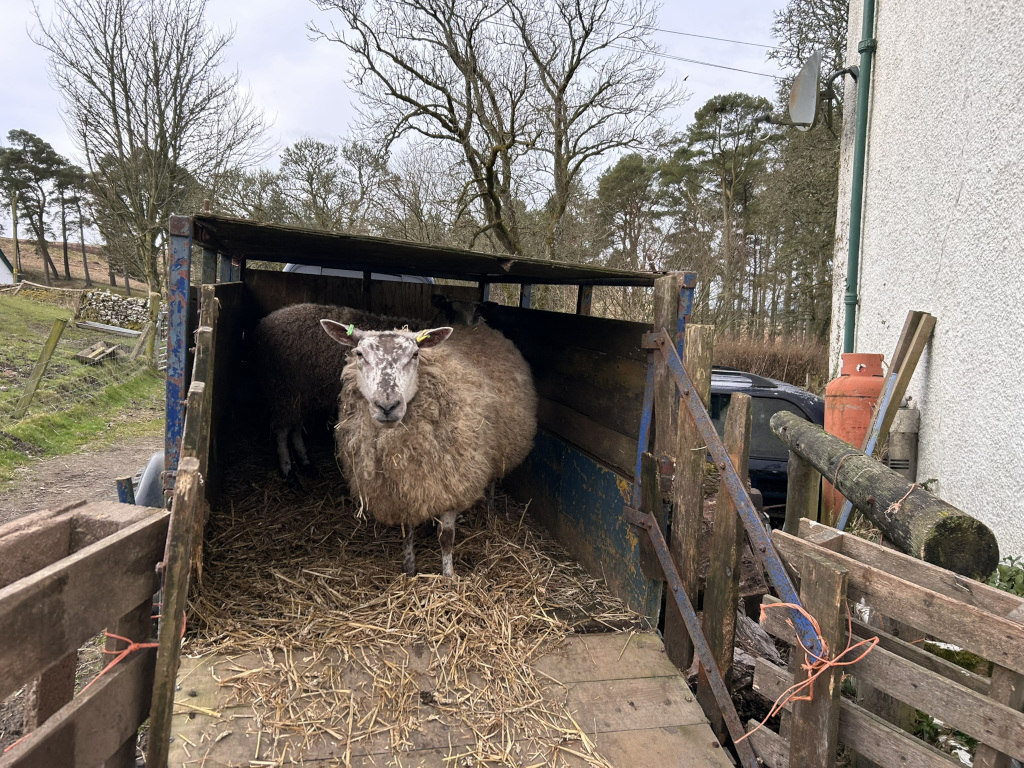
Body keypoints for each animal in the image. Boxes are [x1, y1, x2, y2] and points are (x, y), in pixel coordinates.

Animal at [251, 303, 424, 479]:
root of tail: (264, 322)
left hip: (299, 395)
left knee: (295, 427)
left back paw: (306, 462)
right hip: (283, 391)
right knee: (281, 430)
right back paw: (287, 468)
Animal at [320, 319, 538, 577]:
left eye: (415, 354)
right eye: (360, 354)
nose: (387, 406)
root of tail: (480, 327)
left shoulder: (452, 483)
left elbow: (446, 538)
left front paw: (448, 575)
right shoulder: (405, 489)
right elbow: (407, 532)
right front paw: (410, 569)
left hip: (497, 451)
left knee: (493, 481)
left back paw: (491, 511)